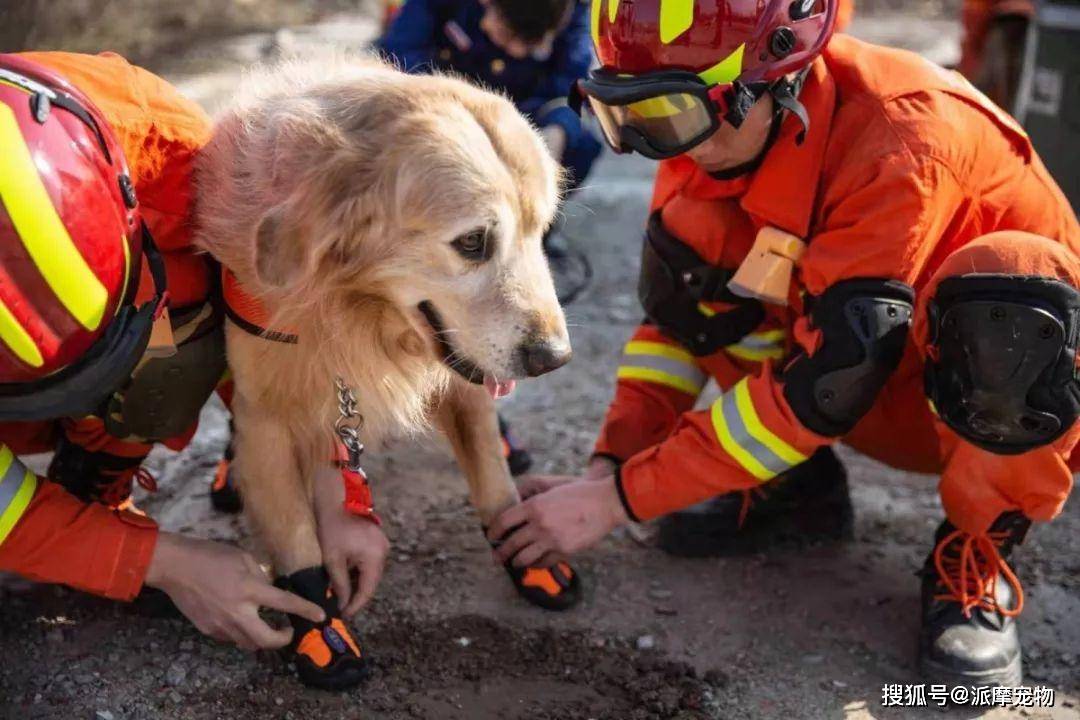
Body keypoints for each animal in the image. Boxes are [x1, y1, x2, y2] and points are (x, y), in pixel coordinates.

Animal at [195, 55, 583, 686]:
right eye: (473, 242)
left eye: (541, 230)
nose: (555, 358)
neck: (356, 308)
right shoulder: (269, 416)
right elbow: (297, 543)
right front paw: (320, 631)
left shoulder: (462, 382)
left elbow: (494, 481)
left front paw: (528, 551)